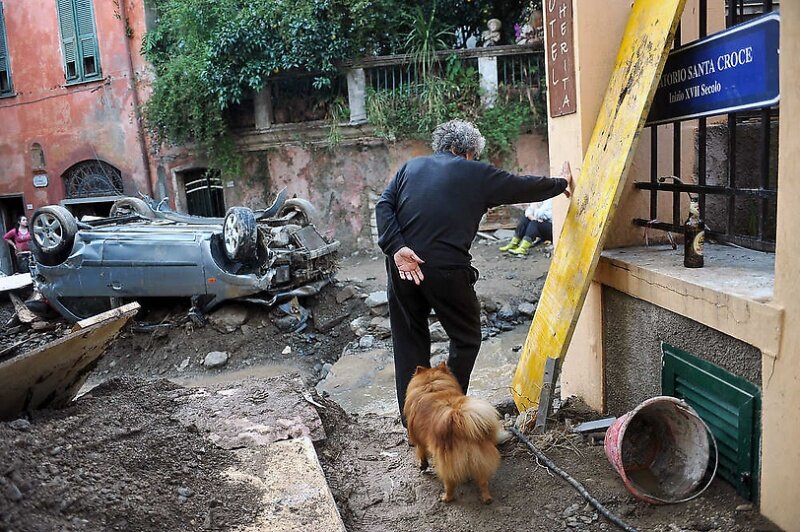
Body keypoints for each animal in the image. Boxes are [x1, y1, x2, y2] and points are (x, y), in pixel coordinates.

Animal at [406, 362, 500, 502]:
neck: (432, 387)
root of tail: (459, 420)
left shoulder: (419, 440)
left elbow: (421, 453)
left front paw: (422, 466)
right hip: (479, 460)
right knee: (483, 481)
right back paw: (486, 498)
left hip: (444, 463)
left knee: (450, 483)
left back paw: (446, 498)